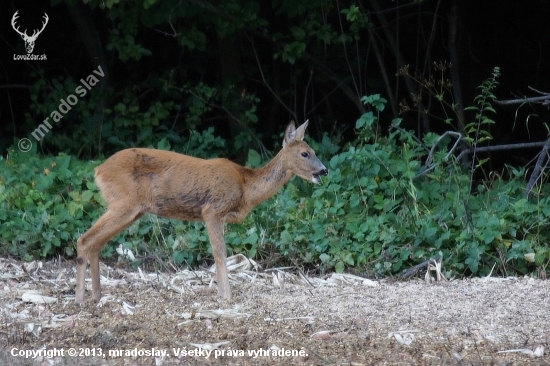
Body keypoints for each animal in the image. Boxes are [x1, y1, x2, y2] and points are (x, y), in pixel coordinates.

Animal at [75, 121, 330, 304]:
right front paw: (226, 297)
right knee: (85, 239)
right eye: (305, 153)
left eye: (313, 151)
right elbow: (220, 253)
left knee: (95, 243)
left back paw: (96, 296)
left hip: (131, 209)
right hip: (124, 203)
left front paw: (222, 293)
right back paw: (80, 299)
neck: (245, 187)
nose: (324, 170)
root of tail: (99, 170)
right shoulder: (212, 209)